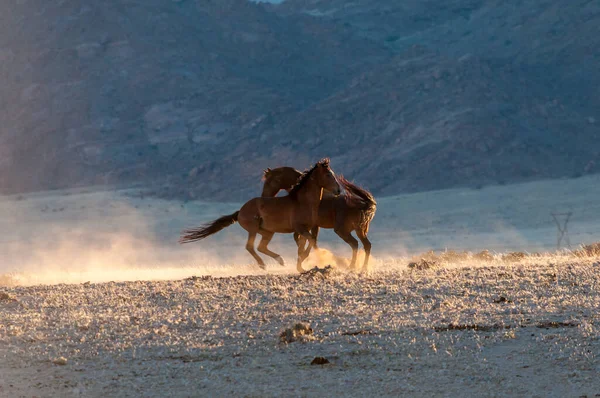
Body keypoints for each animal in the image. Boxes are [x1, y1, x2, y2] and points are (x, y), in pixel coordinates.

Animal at [178, 159, 340, 274]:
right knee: (250, 247)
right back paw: (263, 265)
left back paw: (280, 260)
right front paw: (307, 261)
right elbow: (309, 241)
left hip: (268, 232)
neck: (303, 202)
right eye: (328, 175)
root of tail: (240, 211)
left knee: (261, 246)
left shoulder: (307, 228)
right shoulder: (300, 228)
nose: (338, 190)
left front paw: (302, 265)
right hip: (253, 229)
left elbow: (306, 243)